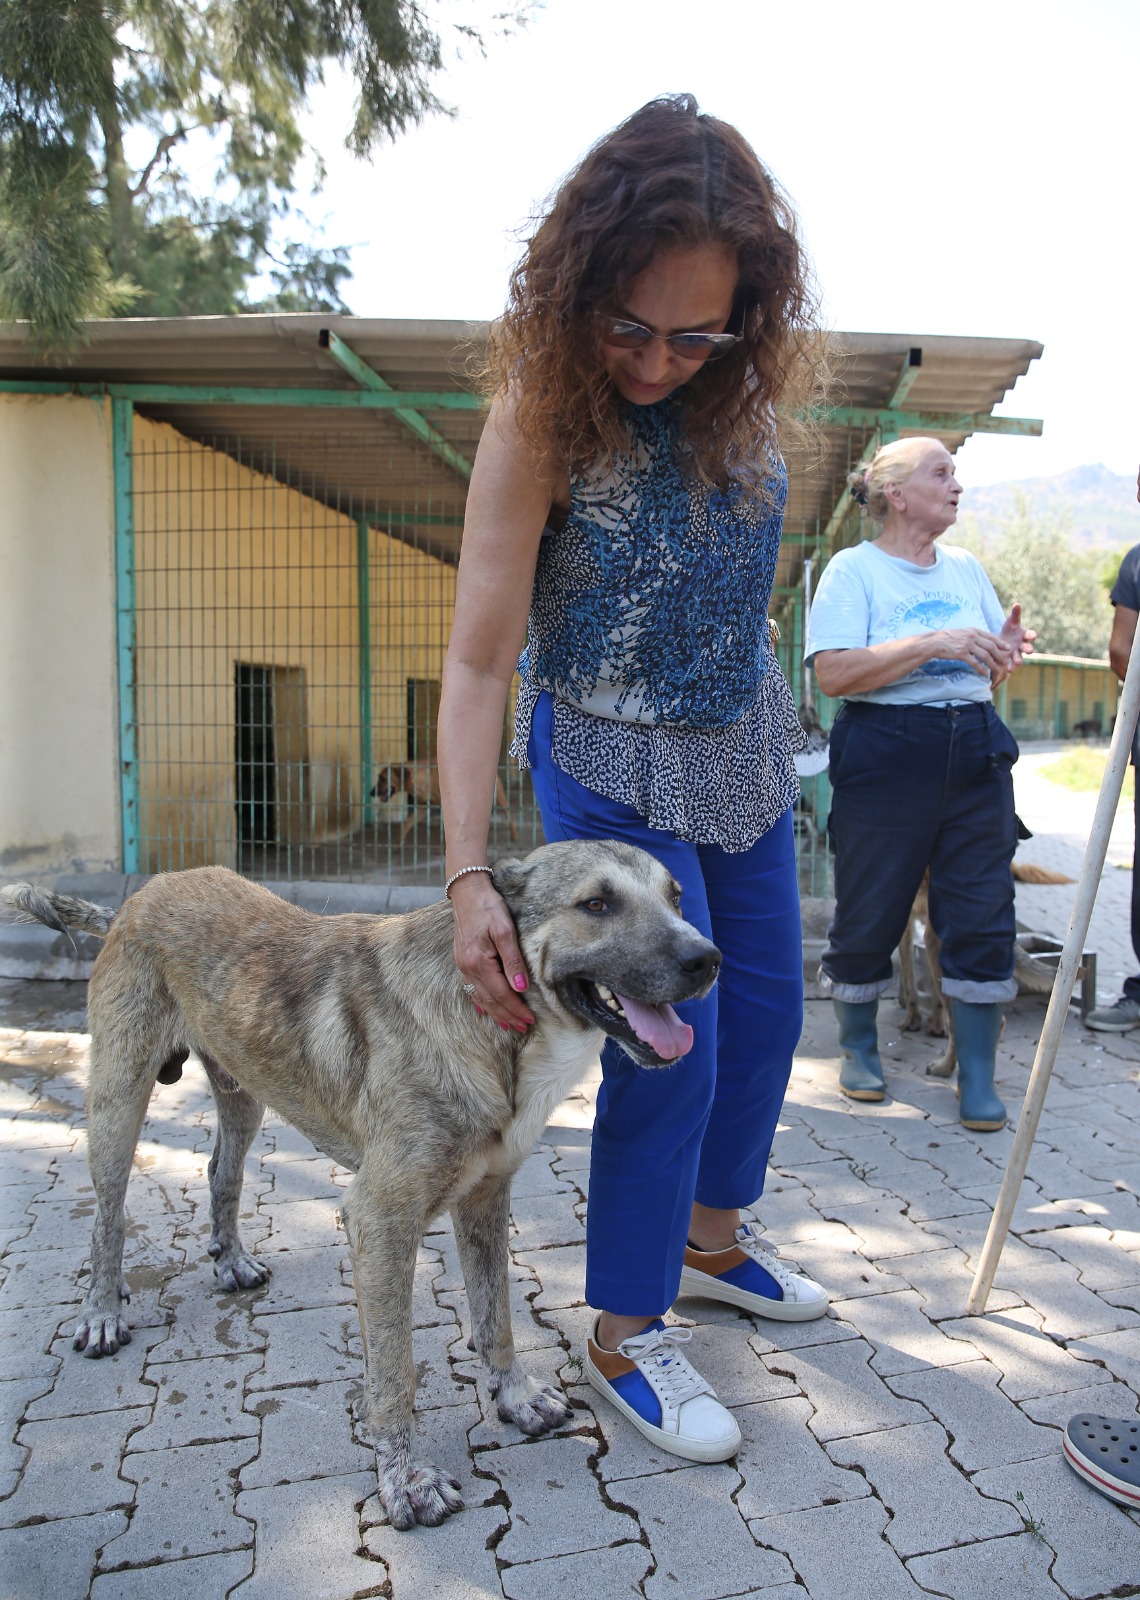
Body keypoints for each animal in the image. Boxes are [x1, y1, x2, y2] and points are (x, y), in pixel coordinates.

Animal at [2, 844, 720, 1529]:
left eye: (676, 897)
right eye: (597, 904)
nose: (708, 959)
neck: (488, 1025)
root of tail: (141, 896)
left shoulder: (486, 1200)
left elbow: (496, 1321)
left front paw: (513, 1398)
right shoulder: (381, 1219)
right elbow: (394, 1374)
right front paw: (405, 1481)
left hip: (243, 1093)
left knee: (220, 1173)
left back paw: (229, 1260)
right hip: (119, 1100)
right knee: (108, 1214)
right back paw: (102, 1309)